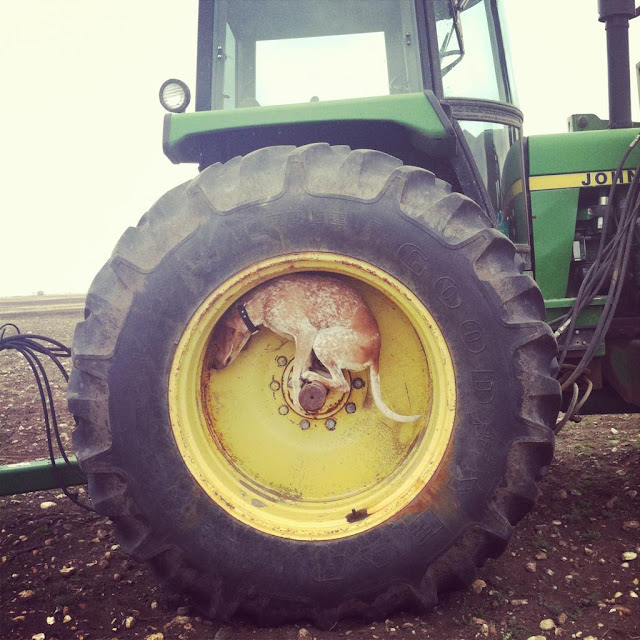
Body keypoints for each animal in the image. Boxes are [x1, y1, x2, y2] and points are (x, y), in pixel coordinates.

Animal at [209, 272, 420, 422]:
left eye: (216, 343)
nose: (213, 366)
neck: (262, 303)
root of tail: (376, 353)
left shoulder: (306, 333)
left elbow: (296, 373)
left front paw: (296, 397)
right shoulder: (302, 341)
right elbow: (303, 364)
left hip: (323, 339)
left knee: (342, 384)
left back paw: (312, 376)